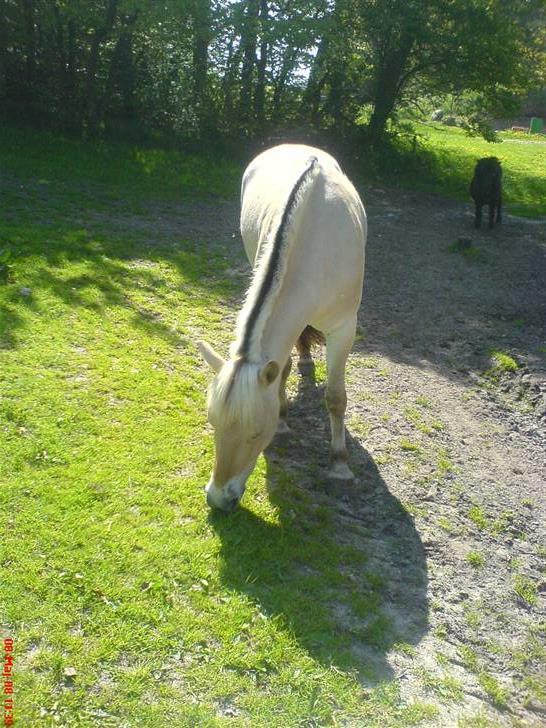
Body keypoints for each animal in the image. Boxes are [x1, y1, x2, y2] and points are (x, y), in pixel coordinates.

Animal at [197, 144, 366, 512]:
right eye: (213, 422)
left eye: (256, 432)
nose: (219, 498)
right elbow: (282, 368)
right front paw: (285, 419)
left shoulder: (344, 328)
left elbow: (336, 398)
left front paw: (339, 465)